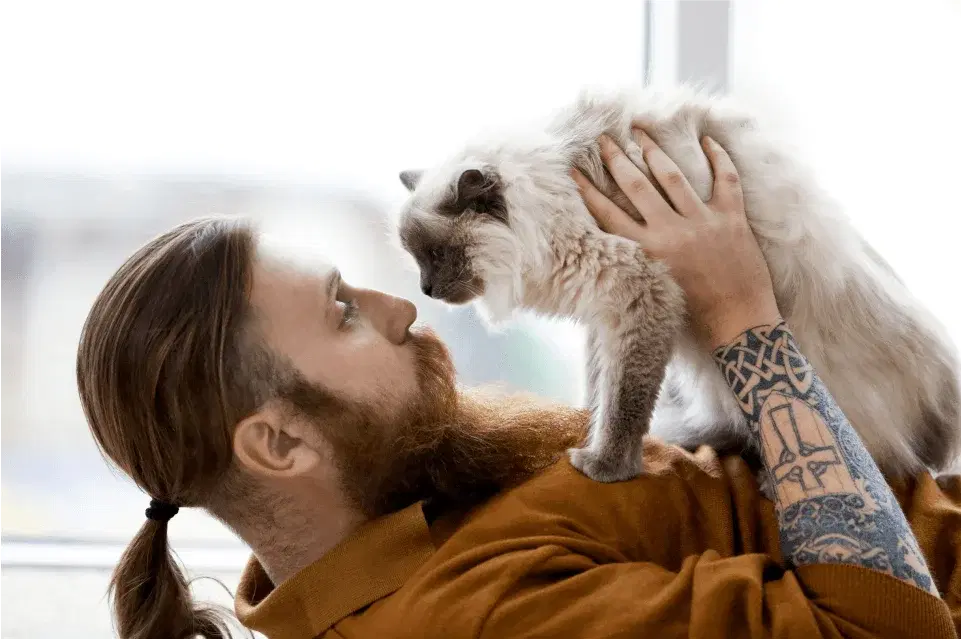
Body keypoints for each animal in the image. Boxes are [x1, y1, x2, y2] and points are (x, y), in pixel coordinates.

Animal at [392, 87, 960, 482]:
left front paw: (605, 465)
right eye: (416, 259)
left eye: (436, 256)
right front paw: (585, 428)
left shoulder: (639, 293)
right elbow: (601, 390)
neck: (554, 190)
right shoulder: (606, 314)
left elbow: (624, 401)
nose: (426, 291)